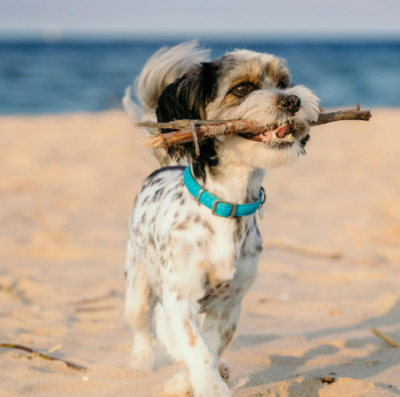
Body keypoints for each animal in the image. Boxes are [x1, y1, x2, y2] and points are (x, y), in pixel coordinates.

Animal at [123, 41, 320, 394]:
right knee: (143, 329)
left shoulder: (230, 302)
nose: (292, 100)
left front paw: (190, 380)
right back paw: (140, 365)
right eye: (242, 90)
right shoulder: (180, 296)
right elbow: (194, 346)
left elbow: (212, 346)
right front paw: (208, 386)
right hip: (137, 286)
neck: (228, 204)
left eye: (283, 83)